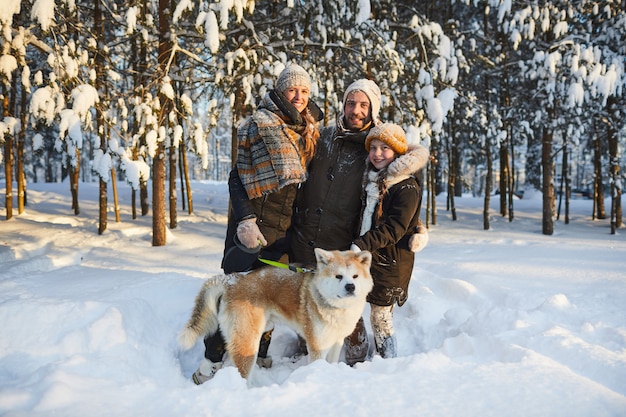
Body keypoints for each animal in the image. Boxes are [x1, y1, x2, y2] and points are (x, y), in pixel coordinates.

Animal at [177, 247, 370, 380]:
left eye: (355, 276)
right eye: (338, 276)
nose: (350, 287)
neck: (336, 306)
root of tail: (233, 279)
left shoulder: (336, 341)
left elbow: (332, 362)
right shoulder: (317, 346)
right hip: (248, 342)